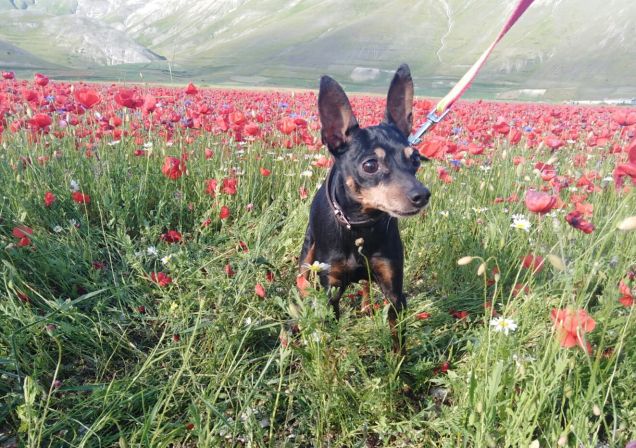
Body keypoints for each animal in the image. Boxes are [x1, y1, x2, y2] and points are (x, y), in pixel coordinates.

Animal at [300, 65, 432, 354]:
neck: (359, 227)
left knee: (365, 284)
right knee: (302, 275)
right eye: (370, 165)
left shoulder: (394, 290)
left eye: (415, 159)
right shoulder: (331, 291)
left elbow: (397, 338)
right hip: (308, 250)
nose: (422, 195)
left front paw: (399, 366)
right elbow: (330, 345)